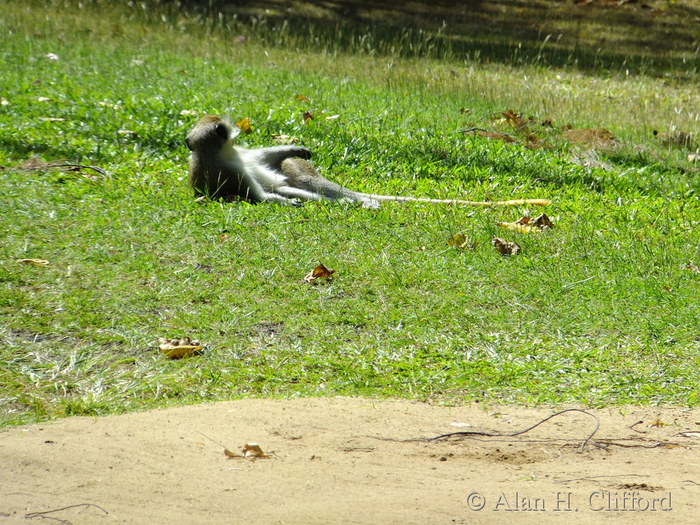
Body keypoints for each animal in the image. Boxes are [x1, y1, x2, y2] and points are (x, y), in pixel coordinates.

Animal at [185, 115, 551, 208]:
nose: (232, 129)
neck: (216, 153)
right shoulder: (229, 170)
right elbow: (260, 195)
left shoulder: (238, 156)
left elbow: (264, 156)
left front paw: (299, 147)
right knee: (296, 187)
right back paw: (359, 202)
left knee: (301, 181)